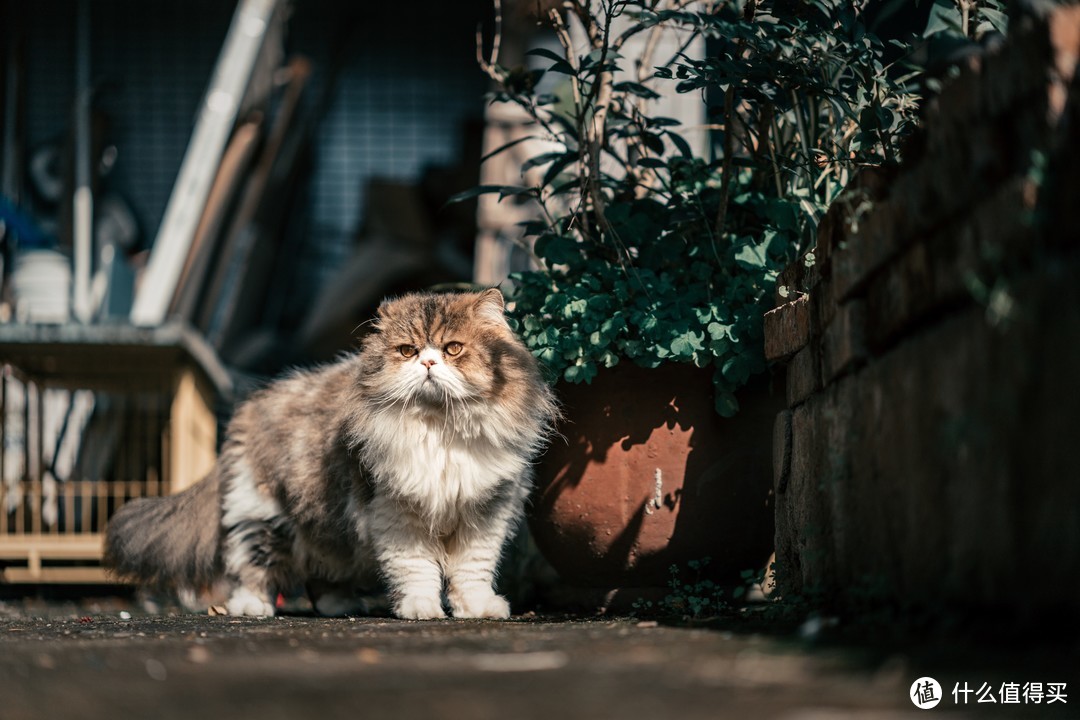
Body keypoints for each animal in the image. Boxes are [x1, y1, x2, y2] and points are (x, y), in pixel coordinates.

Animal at [103, 289, 557, 621]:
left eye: (453, 349)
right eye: (408, 351)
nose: (428, 362)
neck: (439, 430)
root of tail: (252, 407)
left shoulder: (485, 514)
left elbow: (472, 571)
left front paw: (477, 609)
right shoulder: (397, 514)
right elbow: (417, 569)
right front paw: (421, 609)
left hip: (330, 528)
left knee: (322, 576)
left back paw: (342, 605)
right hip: (267, 518)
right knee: (252, 568)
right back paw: (252, 608)